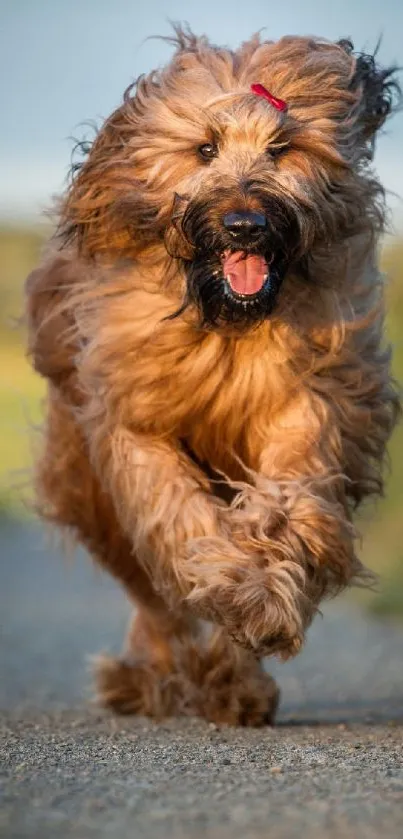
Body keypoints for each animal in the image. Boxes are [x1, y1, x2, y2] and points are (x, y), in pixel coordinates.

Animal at [25, 26, 400, 720]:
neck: (227, 325)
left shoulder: (308, 400)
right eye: (204, 148)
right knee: (151, 593)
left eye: (282, 148)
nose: (245, 224)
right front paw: (231, 584)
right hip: (87, 487)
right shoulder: (133, 419)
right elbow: (176, 513)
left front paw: (260, 601)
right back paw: (159, 676)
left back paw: (232, 682)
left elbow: (286, 504)